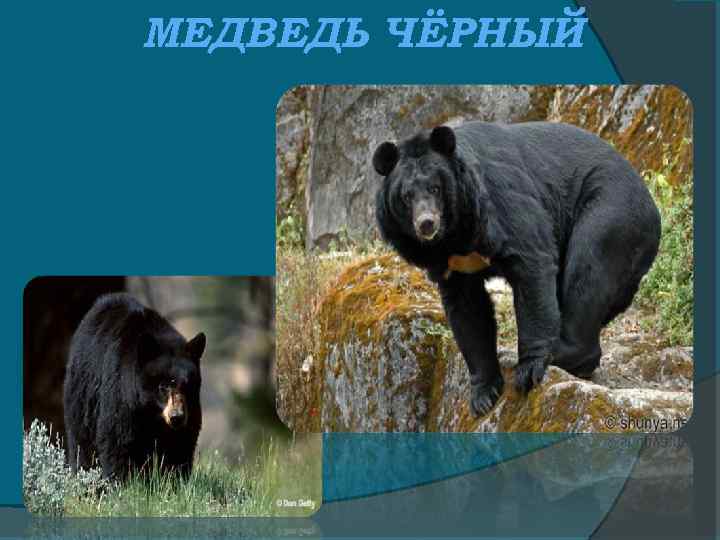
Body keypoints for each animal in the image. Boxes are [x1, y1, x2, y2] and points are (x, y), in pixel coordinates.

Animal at [63, 292, 206, 480]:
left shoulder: (191, 409)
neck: (152, 413)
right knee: (82, 441)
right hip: (82, 395)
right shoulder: (121, 394)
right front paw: (120, 480)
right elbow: (117, 439)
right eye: (163, 386)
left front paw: (175, 480)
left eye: (187, 385)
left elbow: (181, 446)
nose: (177, 417)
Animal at [373, 121, 661, 417]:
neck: (453, 238)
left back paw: (564, 353)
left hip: (611, 215)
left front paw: (528, 370)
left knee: (587, 273)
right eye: (406, 196)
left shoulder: (500, 206)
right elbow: (468, 312)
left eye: (435, 188)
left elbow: (531, 265)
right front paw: (483, 395)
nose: (427, 223)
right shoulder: (452, 267)